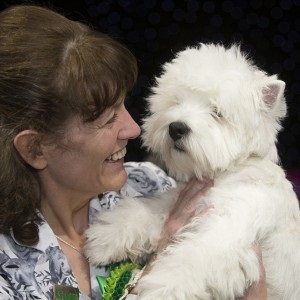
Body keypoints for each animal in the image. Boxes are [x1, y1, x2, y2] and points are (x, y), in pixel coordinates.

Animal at [84, 43, 300, 298]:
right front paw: (106, 237)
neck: (223, 174)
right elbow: (149, 211)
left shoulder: (228, 228)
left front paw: (163, 289)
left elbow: (190, 258)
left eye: (217, 112)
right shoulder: (179, 201)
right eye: (177, 101)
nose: (176, 128)